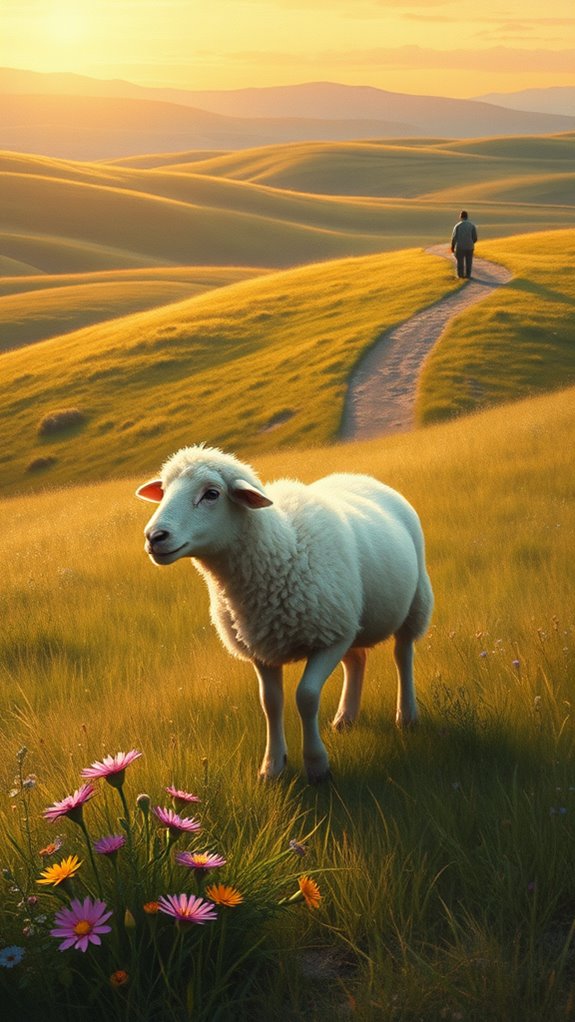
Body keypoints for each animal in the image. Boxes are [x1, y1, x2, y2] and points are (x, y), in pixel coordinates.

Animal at [136, 445, 433, 783]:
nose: (154, 536)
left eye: (212, 493)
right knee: (357, 659)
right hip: (351, 621)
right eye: (164, 490)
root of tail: (361, 477)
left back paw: (406, 716)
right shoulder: (263, 648)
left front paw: (317, 765)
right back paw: (345, 719)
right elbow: (271, 704)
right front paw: (272, 767)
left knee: (403, 654)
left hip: (413, 602)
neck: (282, 547)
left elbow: (306, 697)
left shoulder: (330, 639)